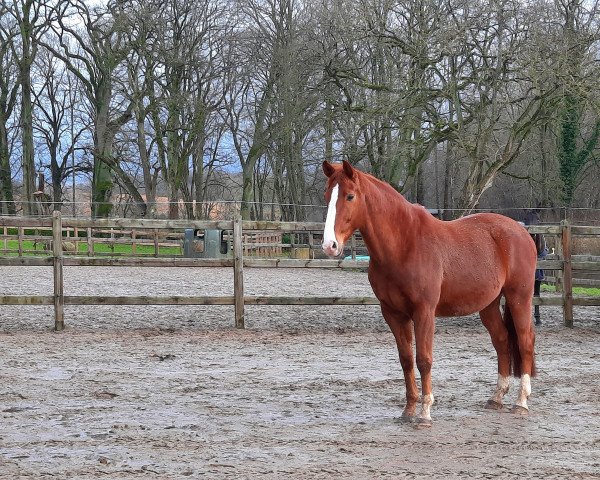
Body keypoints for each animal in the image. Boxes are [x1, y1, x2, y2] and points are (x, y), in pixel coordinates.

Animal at [324, 161, 540, 428]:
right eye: (327, 195)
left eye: (350, 196)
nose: (330, 245)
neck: (404, 245)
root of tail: (521, 232)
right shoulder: (393, 313)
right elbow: (406, 359)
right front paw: (408, 411)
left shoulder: (424, 312)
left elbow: (424, 359)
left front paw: (425, 412)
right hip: (488, 304)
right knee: (501, 340)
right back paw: (496, 398)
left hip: (519, 297)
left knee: (525, 340)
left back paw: (521, 402)